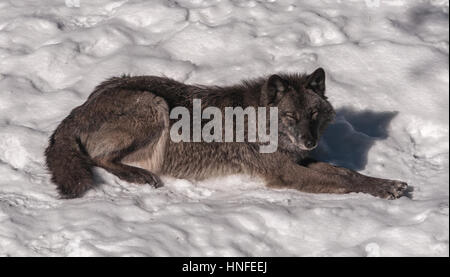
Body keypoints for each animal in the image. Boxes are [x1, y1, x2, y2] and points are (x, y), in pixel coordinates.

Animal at [45, 68, 408, 198]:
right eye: (290, 116)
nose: (310, 141)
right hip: (154, 105)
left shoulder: (298, 161)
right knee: (98, 158)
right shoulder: (285, 172)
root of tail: (78, 109)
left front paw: (386, 184)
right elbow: (343, 180)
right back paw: (139, 176)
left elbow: (346, 172)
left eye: (314, 115)